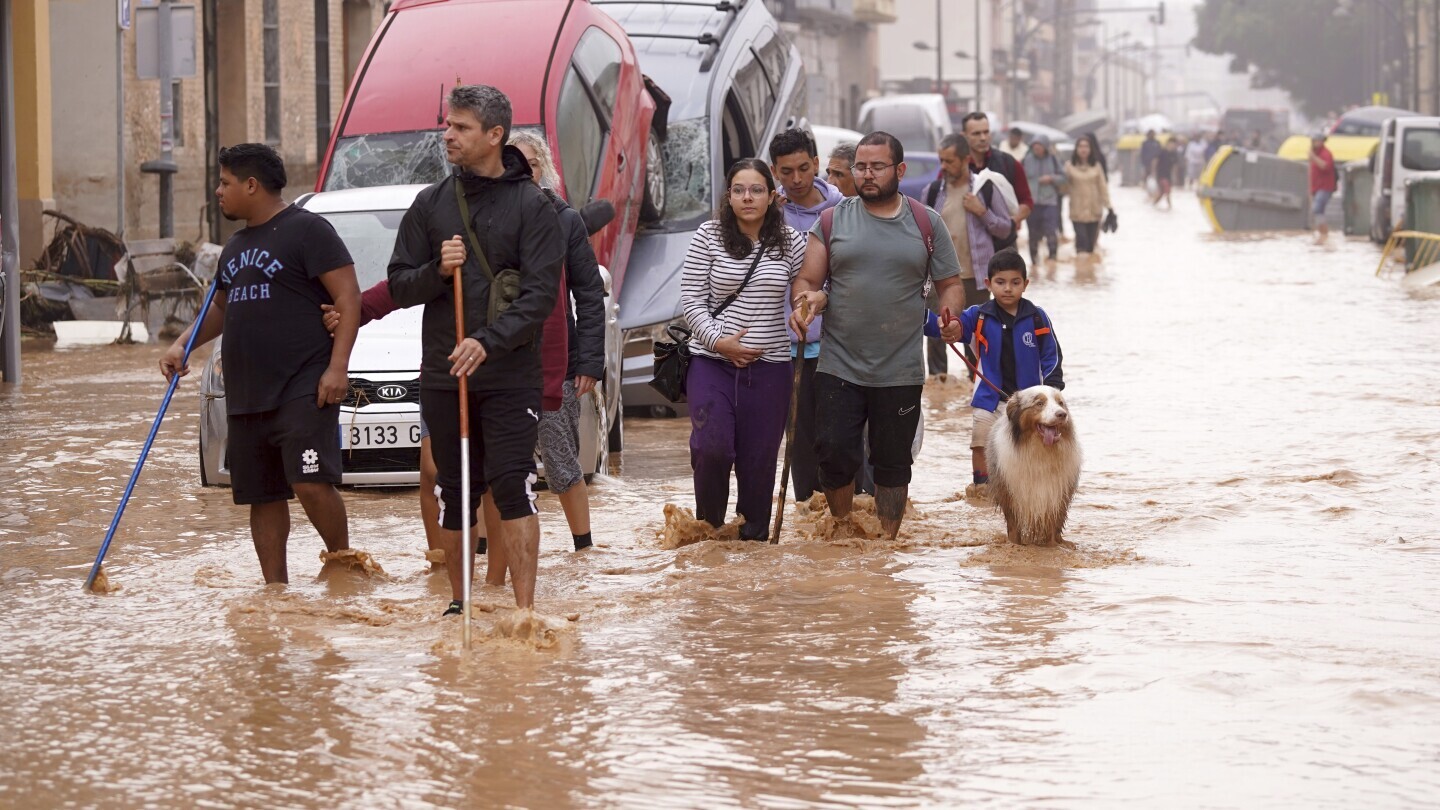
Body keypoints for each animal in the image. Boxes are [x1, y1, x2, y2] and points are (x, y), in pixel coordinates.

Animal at [990, 383, 1082, 547]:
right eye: (1039, 403)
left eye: (1060, 403)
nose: (1062, 414)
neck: (1041, 450)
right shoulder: (1009, 492)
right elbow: (1014, 526)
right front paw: (1015, 544)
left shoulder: (1056, 493)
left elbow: (1053, 523)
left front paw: (1053, 546)